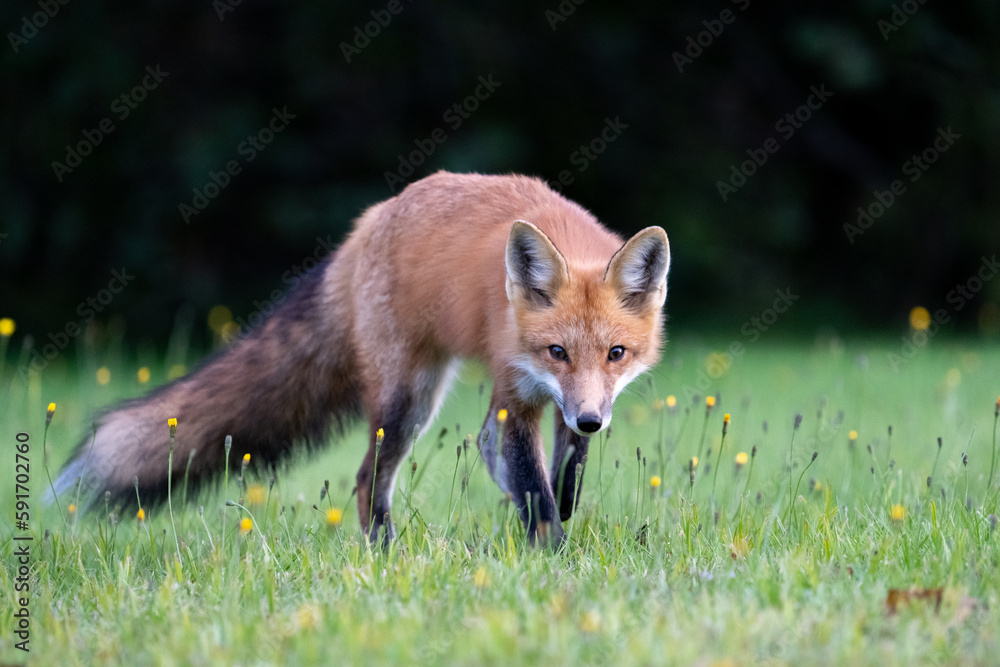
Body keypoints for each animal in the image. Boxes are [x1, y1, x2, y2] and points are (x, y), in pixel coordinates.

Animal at [51, 171, 670, 545]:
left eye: (616, 353)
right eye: (556, 351)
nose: (590, 420)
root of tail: (371, 219)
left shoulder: (563, 404)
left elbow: (563, 479)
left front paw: (552, 518)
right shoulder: (517, 392)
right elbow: (536, 492)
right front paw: (553, 558)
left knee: (462, 452)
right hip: (407, 400)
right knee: (368, 479)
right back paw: (385, 552)